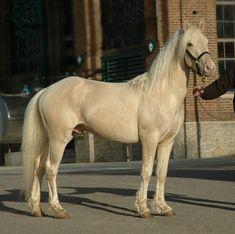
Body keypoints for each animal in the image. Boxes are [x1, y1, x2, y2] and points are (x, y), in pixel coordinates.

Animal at [21, 21, 215, 218]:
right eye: (189, 44)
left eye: (206, 41)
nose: (210, 67)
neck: (161, 93)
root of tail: (45, 91)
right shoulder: (149, 140)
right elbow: (146, 171)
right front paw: (143, 208)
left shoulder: (167, 142)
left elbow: (162, 172)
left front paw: (162, 207)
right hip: (59, 140)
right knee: (50, 169)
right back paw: (58, 209)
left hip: (47, 139)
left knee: (37, 167)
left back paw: (36, 209)